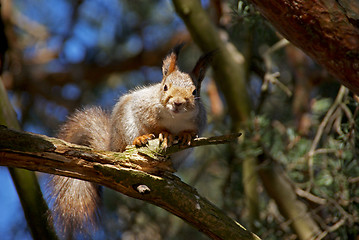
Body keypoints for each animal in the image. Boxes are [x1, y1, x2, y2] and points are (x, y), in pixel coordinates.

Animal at [49, 44, 215, 238]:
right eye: (165, 87)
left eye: (195, 91)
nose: (178, 102)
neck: (175, 118)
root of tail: (112, 144)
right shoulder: (143, 107)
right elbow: (153, 125)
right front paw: (164, 133)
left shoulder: (200, 122)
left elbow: (192, 132)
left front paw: (186, 134)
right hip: (125, 129)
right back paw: (140, 140)